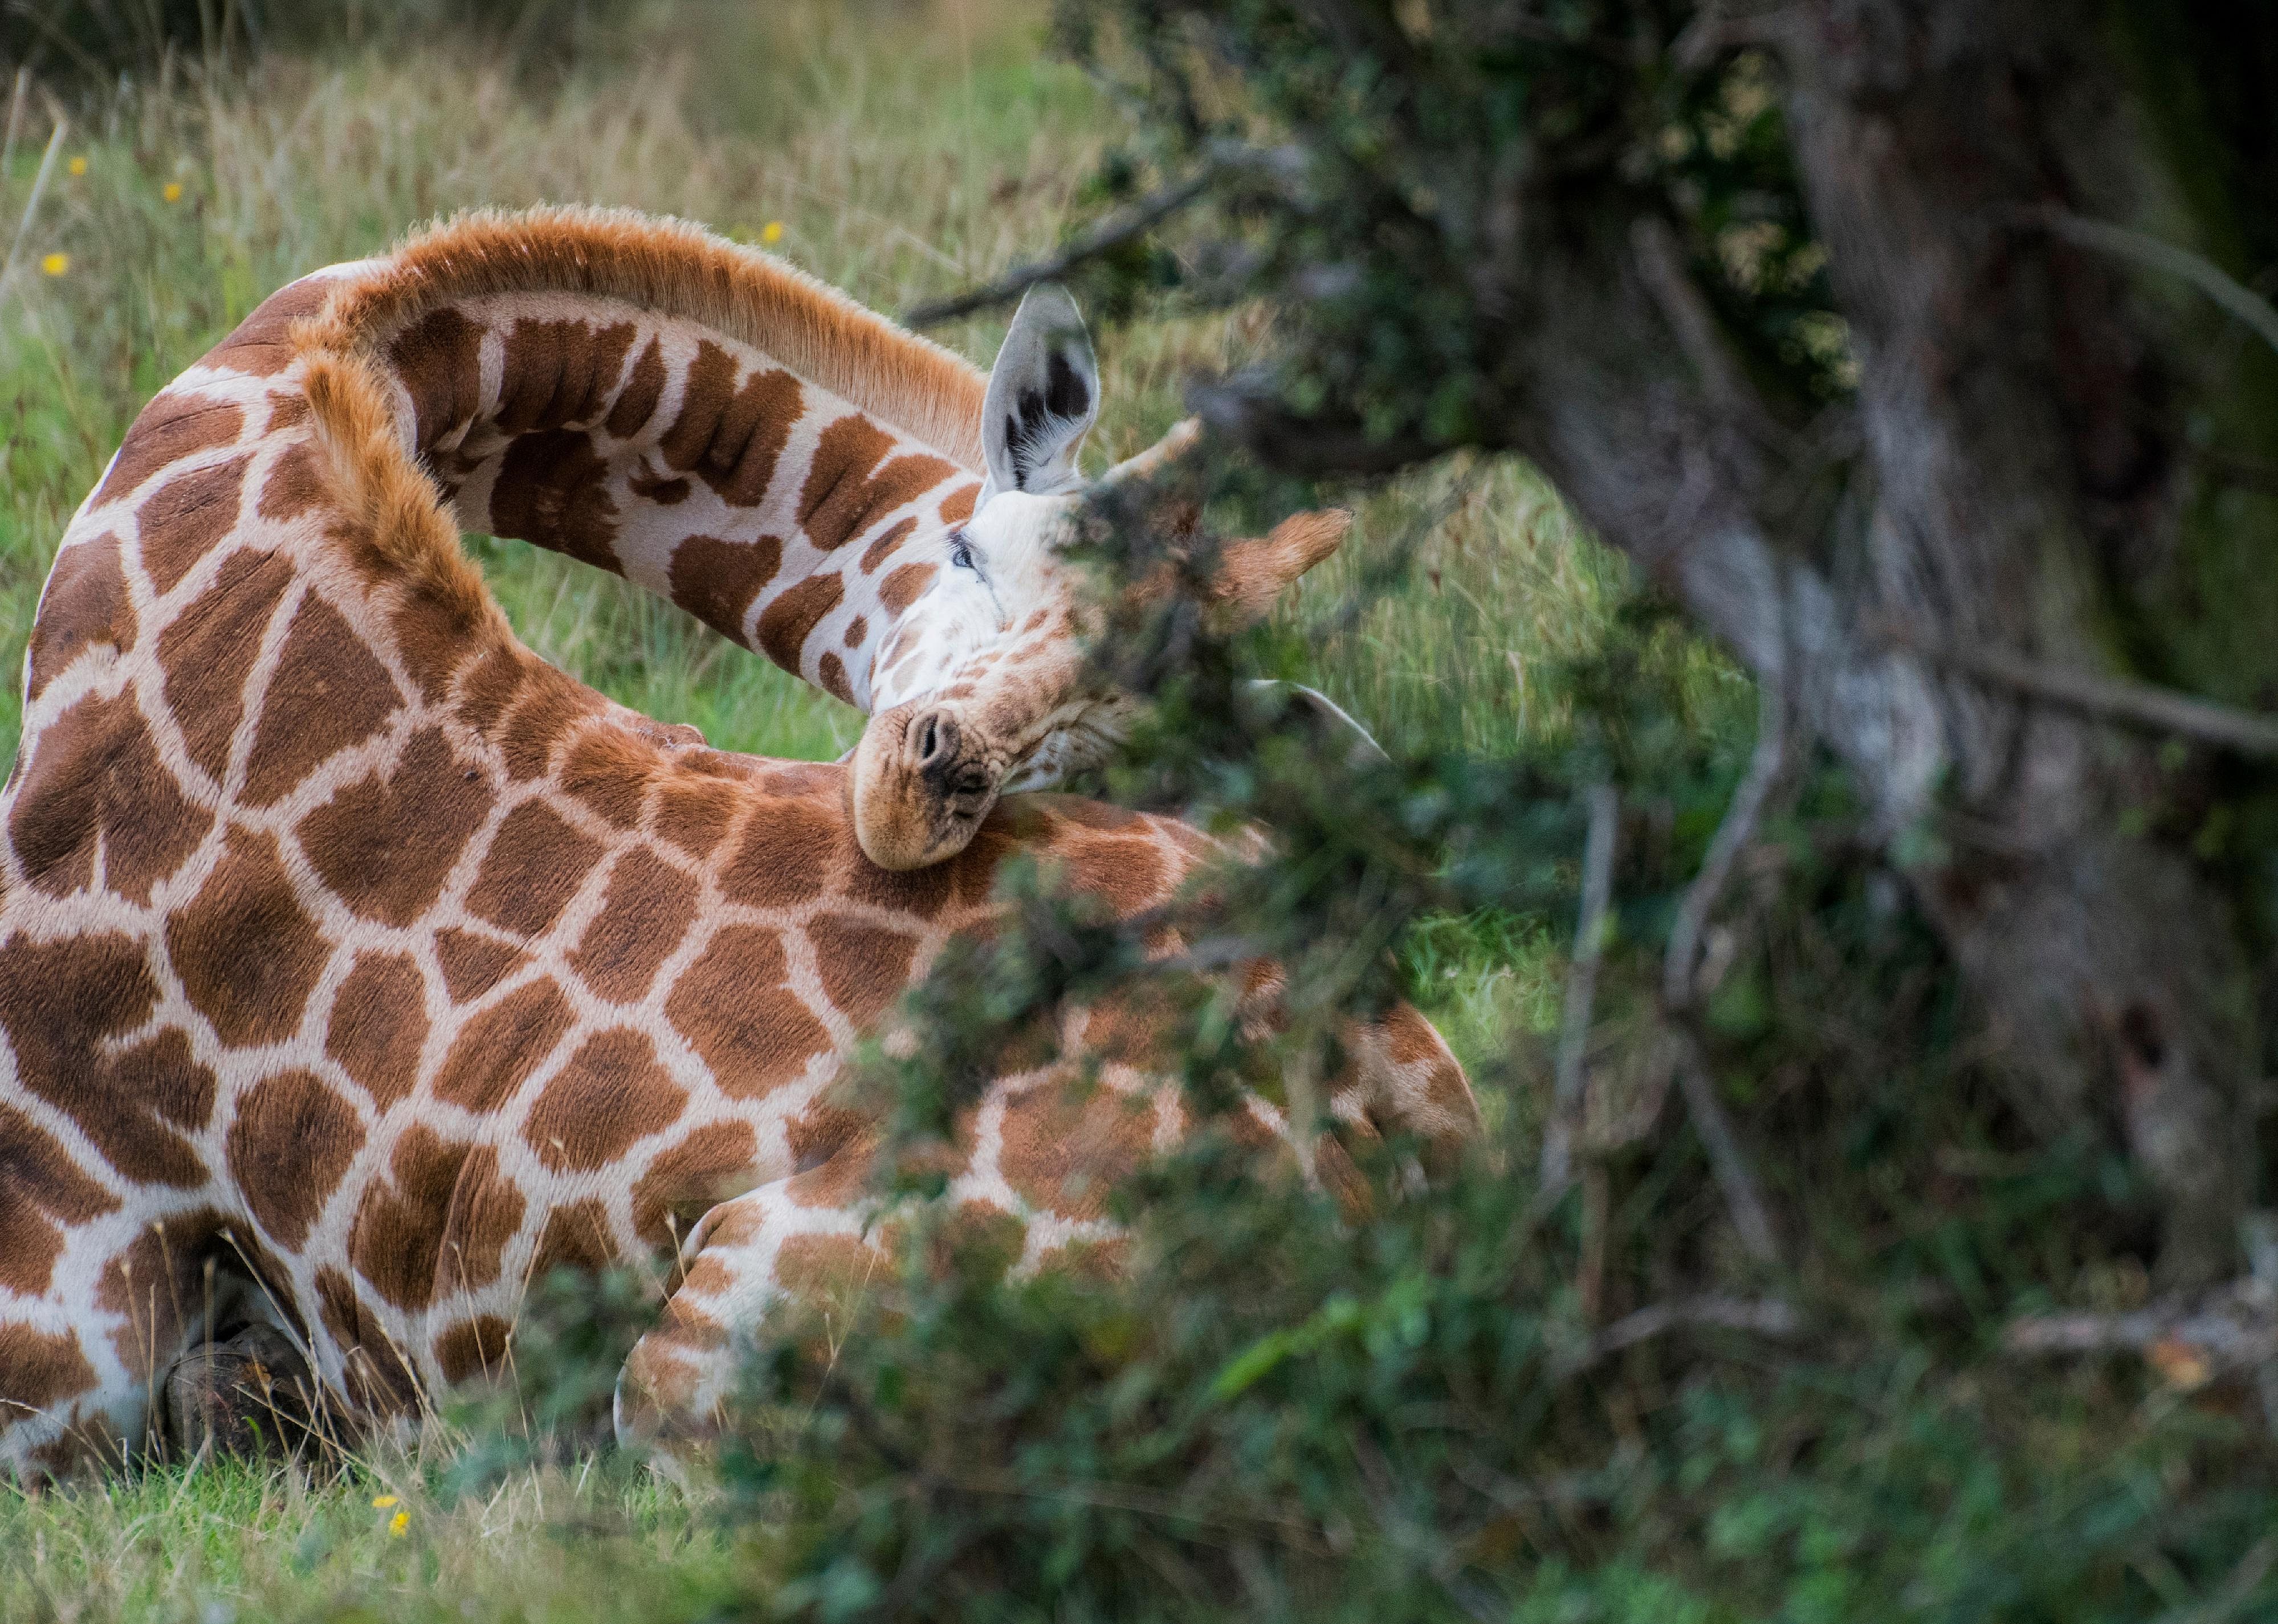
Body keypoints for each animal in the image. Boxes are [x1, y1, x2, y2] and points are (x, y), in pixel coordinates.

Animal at [0, 207, 1478, 1477]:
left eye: (1111, 732)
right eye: (968, 551)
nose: (920, 790)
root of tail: (1393, 1165)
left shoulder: (64, 1315)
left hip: (710, 1358)